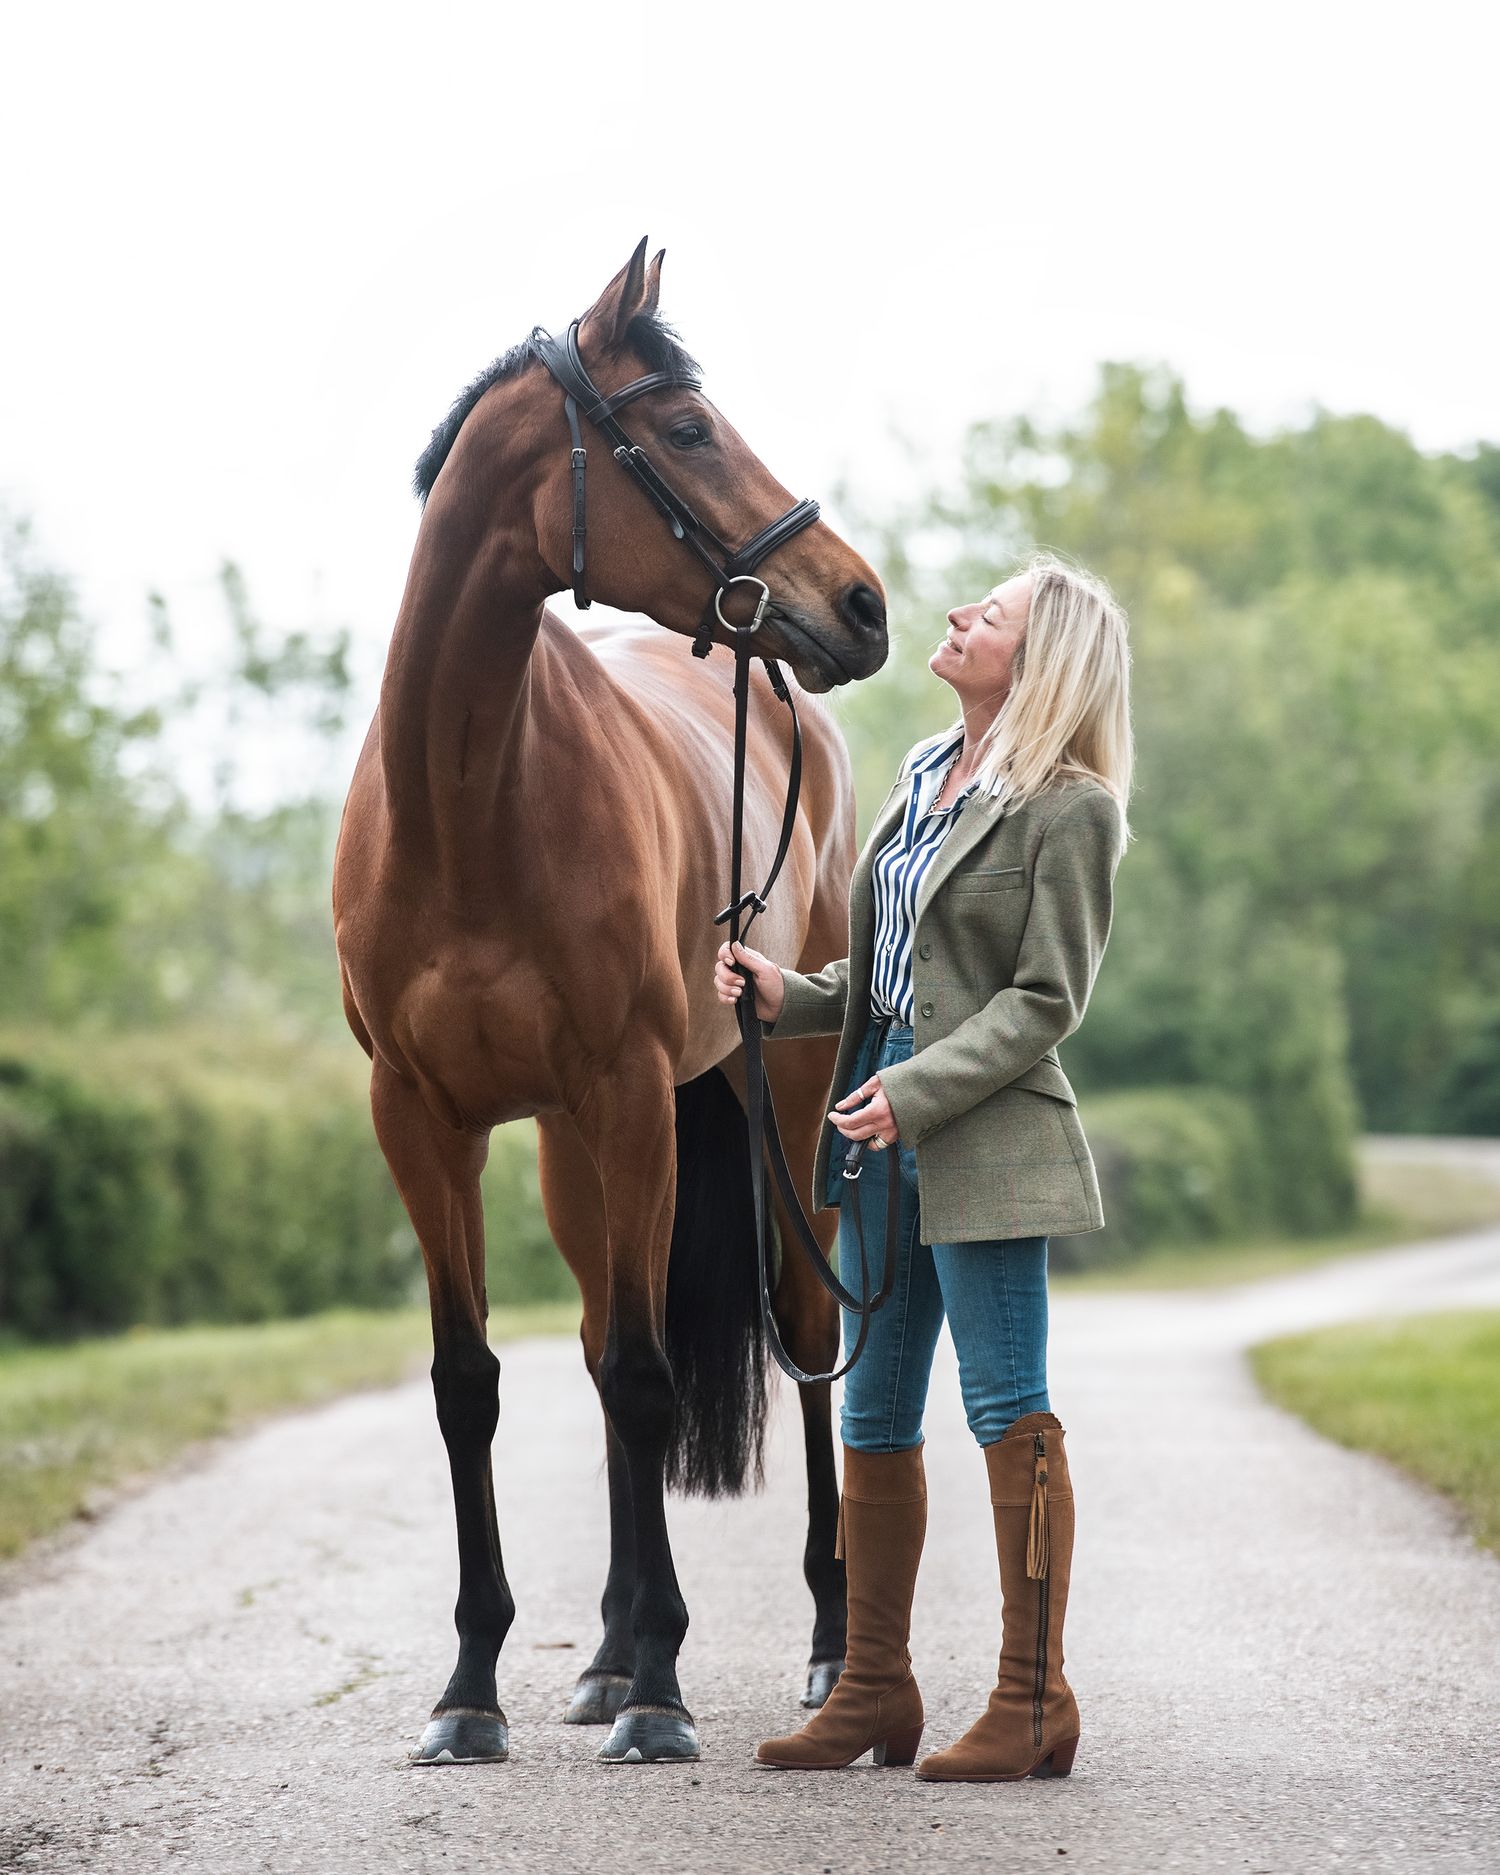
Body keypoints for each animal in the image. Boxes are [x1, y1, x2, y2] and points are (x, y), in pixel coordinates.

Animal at [332, 240, 890, 1765]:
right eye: (687, 429)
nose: (862, 603)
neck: (470, 806)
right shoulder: (424, 1122)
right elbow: (473, 1384)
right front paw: (474, 1691)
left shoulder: (631, 1093)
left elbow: (648, 1380)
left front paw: (661, 1696)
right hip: (576, 1152)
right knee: (594, 1347)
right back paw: (604, 1651)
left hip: (774, 1110)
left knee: (802, 1338)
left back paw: (826, 1647)